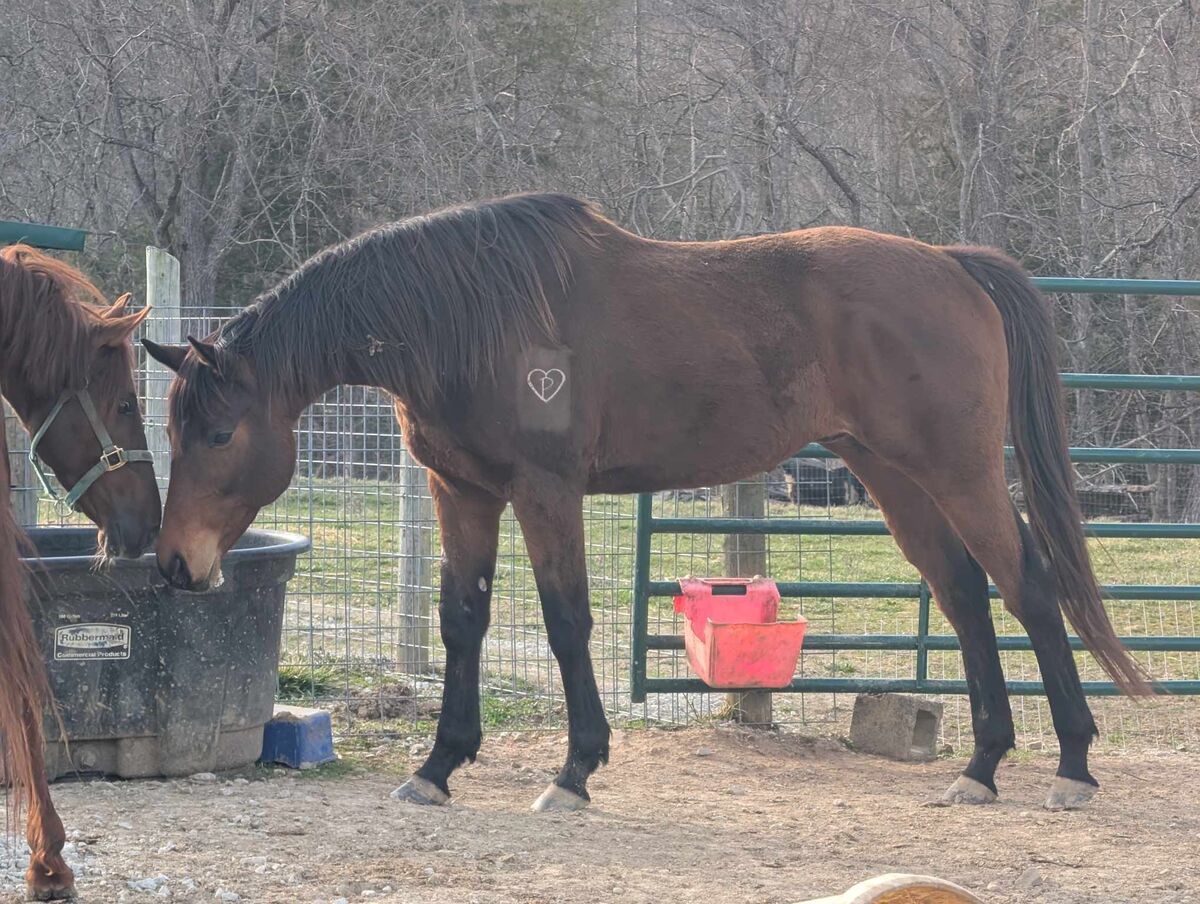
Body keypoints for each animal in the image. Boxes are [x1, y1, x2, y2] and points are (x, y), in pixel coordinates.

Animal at [144, 192, 1151, 818]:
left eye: (219, 434)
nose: (176, 564)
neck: (468, 320)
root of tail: (952, 265)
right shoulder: (461, 491)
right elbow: (462, 622)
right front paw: (437, 767)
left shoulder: (545, 492)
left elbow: (566, 623)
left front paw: (574, 772)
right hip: (894, 476)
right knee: (965, 594)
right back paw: (981, 768)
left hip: (959, 471)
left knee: (1028, 589)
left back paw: (1072, 765)